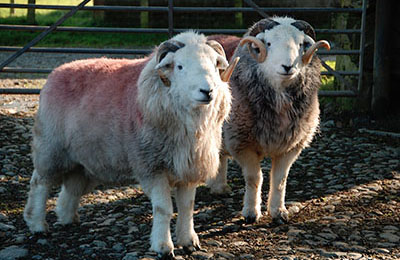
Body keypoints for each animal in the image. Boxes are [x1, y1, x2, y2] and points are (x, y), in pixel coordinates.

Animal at [25, 31, 238, 258]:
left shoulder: (188, 167)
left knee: (71, 187)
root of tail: (57, 72)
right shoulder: (152, 166)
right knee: (39, 183)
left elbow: (187, 207)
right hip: (51, 148)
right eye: (180, 66)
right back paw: (37, 224)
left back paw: (67, 218)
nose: (207, 91)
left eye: (215, 65)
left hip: (84, 160)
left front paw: (189, 241)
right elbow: (164, 209)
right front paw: (163, 246)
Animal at [208, 16, 330, 223]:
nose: (288, 66)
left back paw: (221, 187)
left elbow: (280, 179)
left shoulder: (291, 147)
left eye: (300, 45)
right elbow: (254, 178)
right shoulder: (242, 143)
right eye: (269, 43)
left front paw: (278, 212)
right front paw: (251, 213)